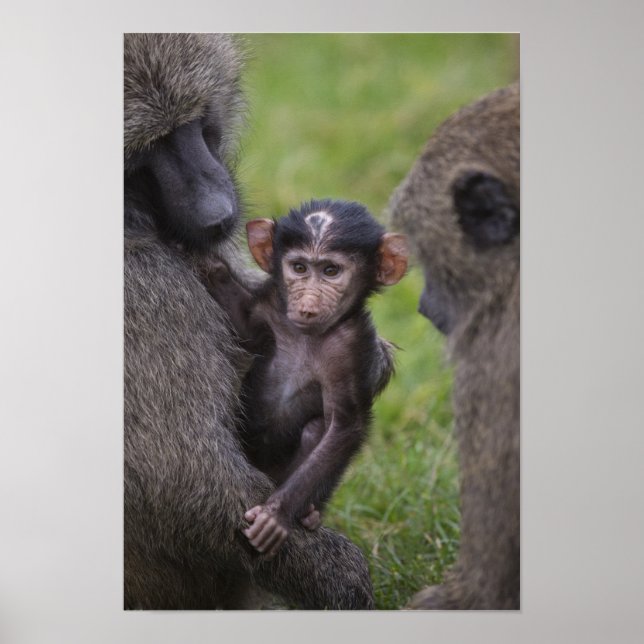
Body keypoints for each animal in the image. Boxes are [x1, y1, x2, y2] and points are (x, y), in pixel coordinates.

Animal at [124, 33, 374, 609]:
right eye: (144, 149)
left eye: (192, 123)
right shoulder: (141, 287)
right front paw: (348, 585)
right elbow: (181, 480)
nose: (218, 213)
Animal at [198, 199, 409, 557]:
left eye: (331, 271)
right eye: (299, 268)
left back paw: (308, 514)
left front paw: (276, 515)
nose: (308, 304)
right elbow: (245, 331)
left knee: (316, 428)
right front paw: (209, 263)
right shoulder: (271, 308)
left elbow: (343, 426)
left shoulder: (353, 347)